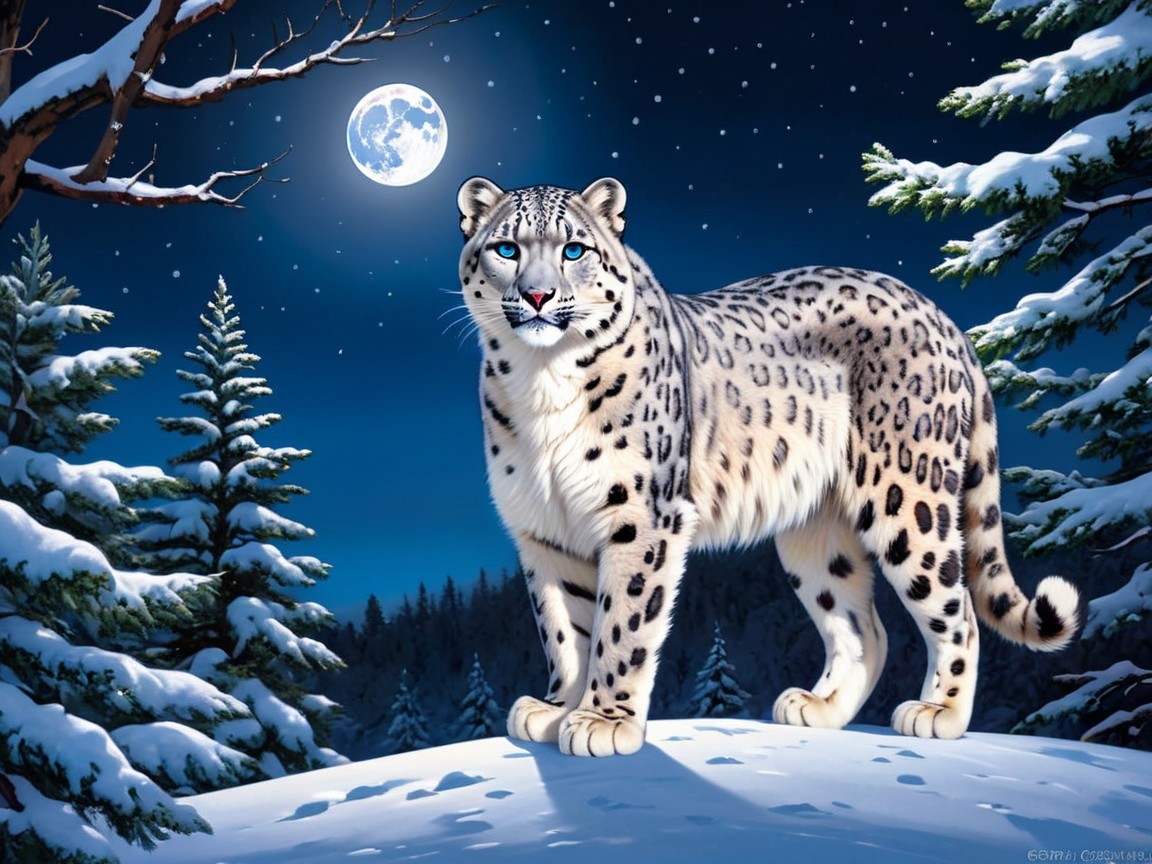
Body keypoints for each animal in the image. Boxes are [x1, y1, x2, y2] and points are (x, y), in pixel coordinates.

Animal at [455, 176, 1080, 757]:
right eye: (507, 248)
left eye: (574, 250)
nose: (538, 295)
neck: (541, 380)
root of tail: (942, 316)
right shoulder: (544, 530)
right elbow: (566, 628)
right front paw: (560, 708)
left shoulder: (643, 516)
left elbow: (622, 620)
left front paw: (604, 721)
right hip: (815, 532)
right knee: (863, 627)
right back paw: (818, 707)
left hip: (910, 498)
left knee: (958, 610)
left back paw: (938, 713)